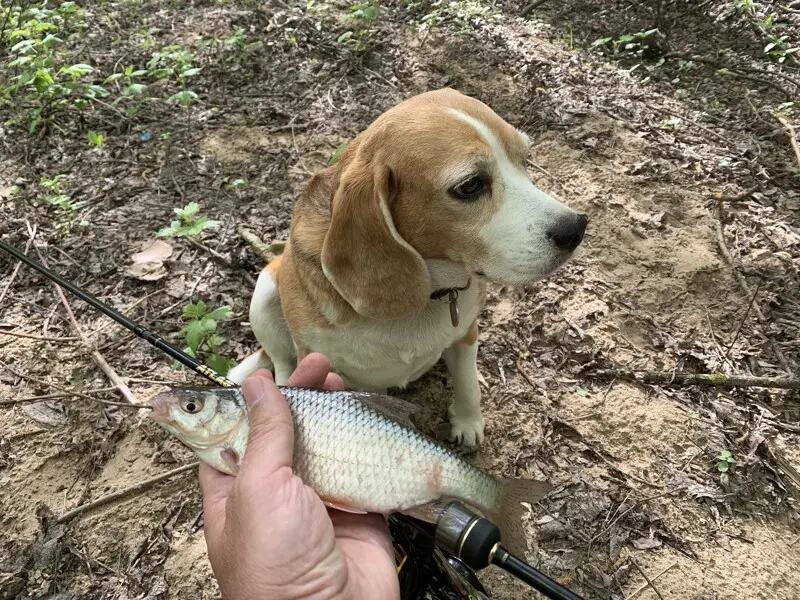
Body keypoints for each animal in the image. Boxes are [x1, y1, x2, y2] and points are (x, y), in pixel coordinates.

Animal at [228, 88, 592, 446]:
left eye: (525, 158)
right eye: (470, 185)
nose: (575, 228)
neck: (425, 295)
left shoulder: (467, 331)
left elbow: (468, 383)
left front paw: (467, 422)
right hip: (265, 291)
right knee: (281, 362)